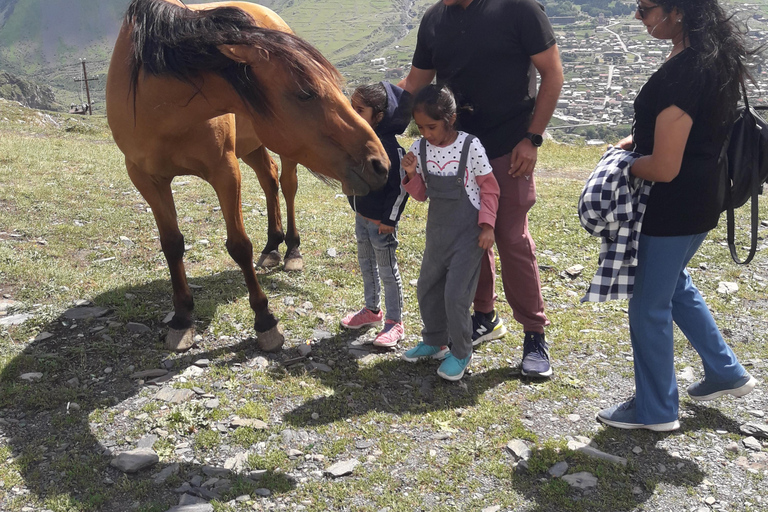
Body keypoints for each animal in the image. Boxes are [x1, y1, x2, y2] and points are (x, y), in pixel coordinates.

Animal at [104, 0, 388, 352]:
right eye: (305, 92)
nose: (379, 163)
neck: (158, 105)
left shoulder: (225, 171)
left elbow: (239, 246)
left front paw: (265, 321)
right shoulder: (146, 179)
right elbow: (172, 245)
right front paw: (183, 317)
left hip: (280, 152)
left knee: (287, 186)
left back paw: (291, 250)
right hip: (252, 146)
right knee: (269, 180)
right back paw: (272, 246)